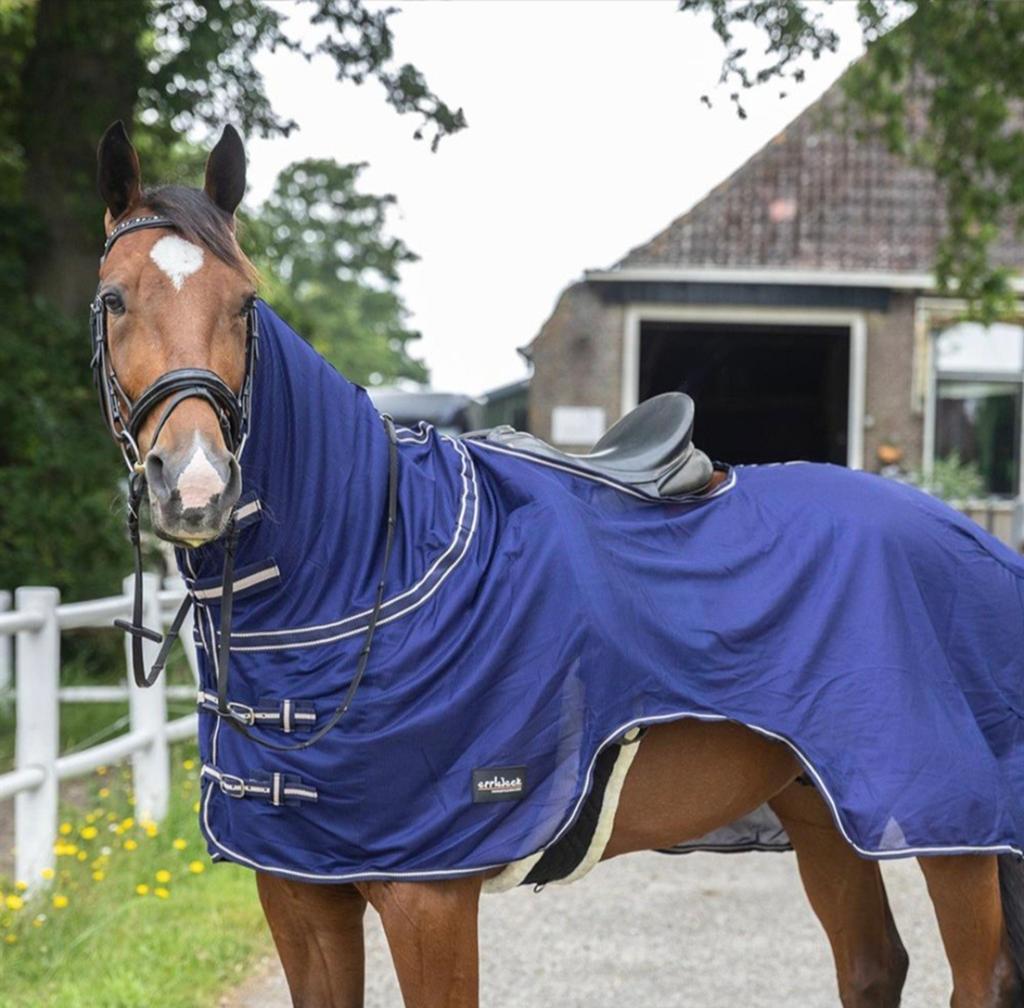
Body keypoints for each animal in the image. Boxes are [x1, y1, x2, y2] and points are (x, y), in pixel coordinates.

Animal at [88, 119, 1024, 1008]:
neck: (364, 568)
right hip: (825, 808)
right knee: (872, 966)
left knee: (979, 978)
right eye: (113, 298)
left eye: (246, 301)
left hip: (953, 826)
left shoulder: (429, 901)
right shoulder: (298, 895)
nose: (197, 484)